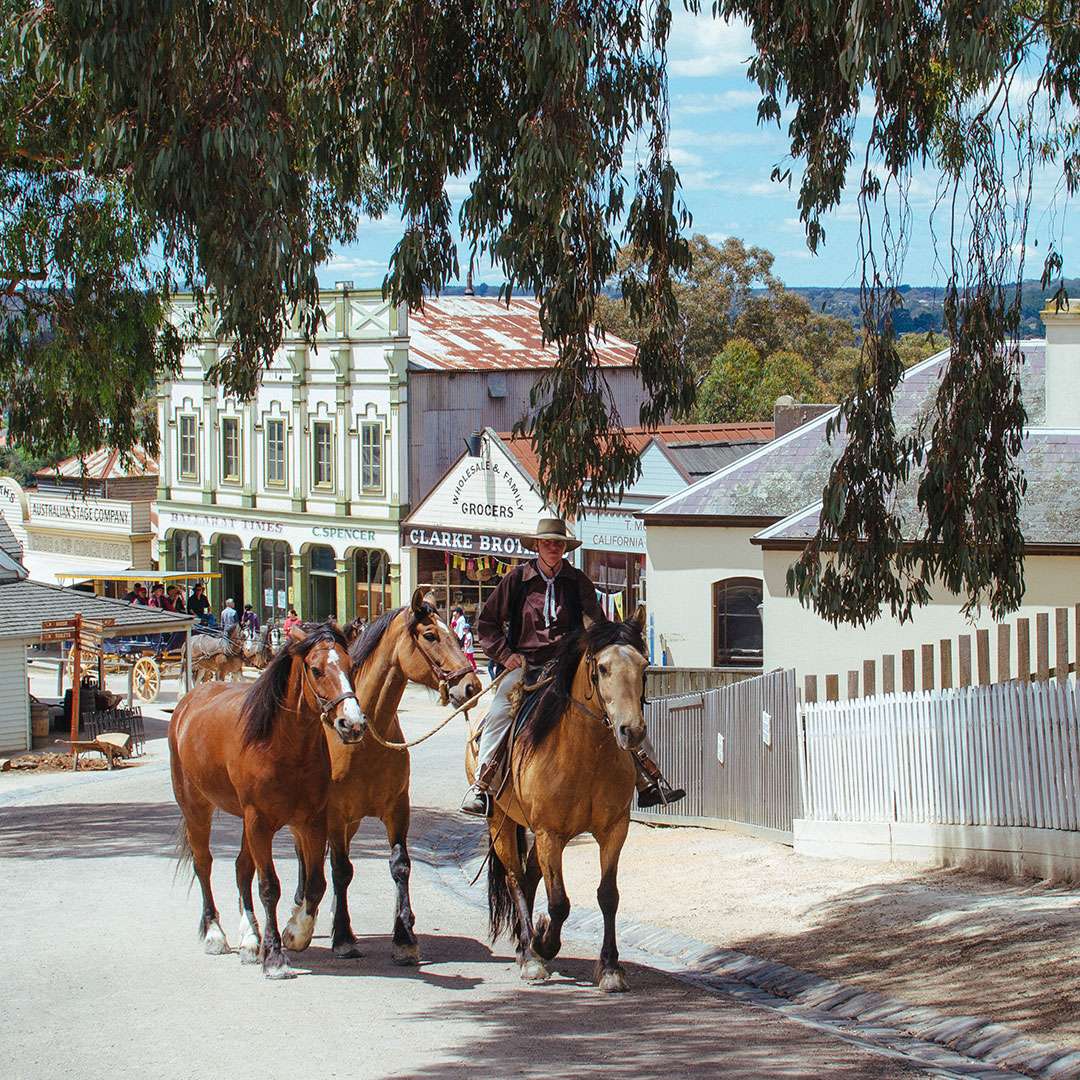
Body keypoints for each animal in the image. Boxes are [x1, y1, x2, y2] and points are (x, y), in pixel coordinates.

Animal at [170, 617, 367, 980]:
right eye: (316, 669)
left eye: (350, 666)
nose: (353, 723)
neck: (283, 745)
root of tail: (191, 700)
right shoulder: (260, 823)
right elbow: (269, 887)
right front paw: (275, 956)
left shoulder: (311, 821)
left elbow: (315, 884)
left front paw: (295, 934)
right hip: (197, 810)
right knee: (204, 864)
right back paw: (215, 934)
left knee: (240, 868)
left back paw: (250, 939)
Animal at [295, 591, 481, 963]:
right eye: (430, 635)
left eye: (454, 635)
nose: (471, 686)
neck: (362, 738)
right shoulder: (335, 815)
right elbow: (341, 869)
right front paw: (344, 938)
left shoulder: (396, 809)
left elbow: (400, 865)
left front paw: (404, 937)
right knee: (305, 858)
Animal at [466, 604, 648, 989]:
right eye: (603, 667)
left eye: (643, 666)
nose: (632, 731)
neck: (586, 754)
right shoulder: (550, 833)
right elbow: (559, 902)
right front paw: (543, 946)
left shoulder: (614, 830)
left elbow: (608, 896)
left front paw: (610, 967)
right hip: (500, 824)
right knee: (515, 879)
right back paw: (529, 953)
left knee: (530, 874)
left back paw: (528, 943)